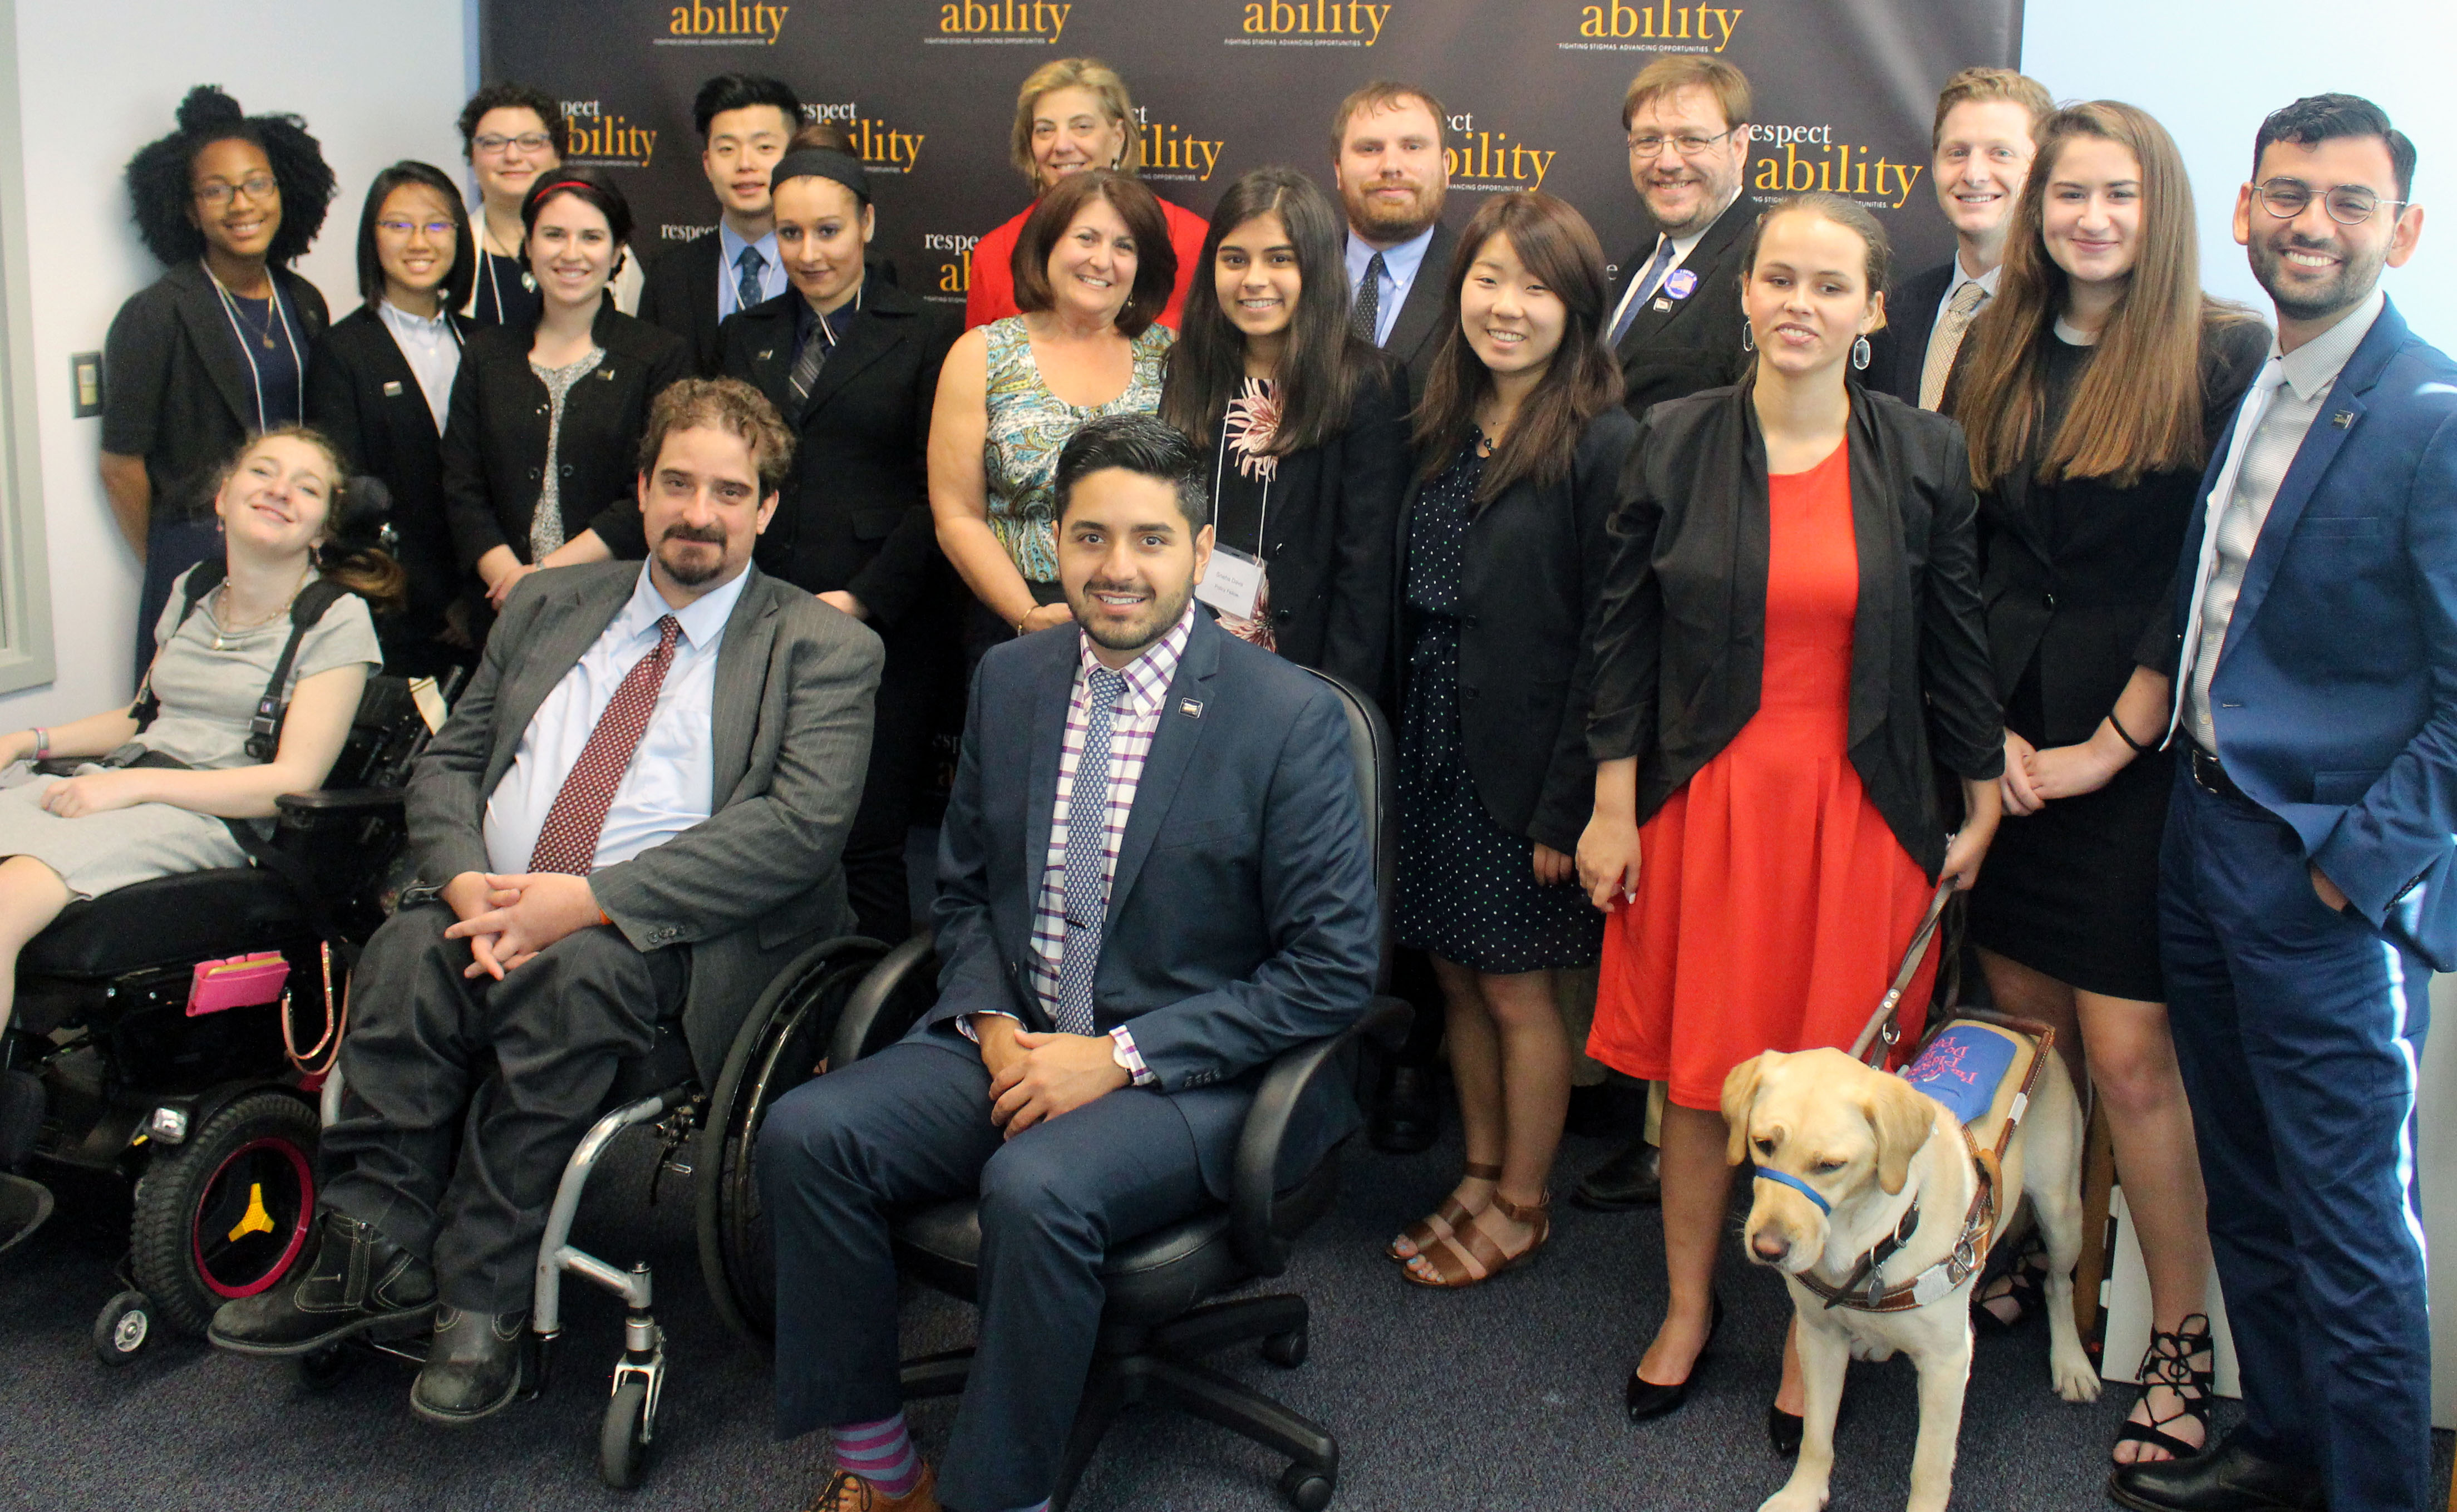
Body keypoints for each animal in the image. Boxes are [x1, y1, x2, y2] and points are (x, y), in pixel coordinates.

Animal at [1730, 885, 2093, 1512]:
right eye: (1762, 1142)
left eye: (1830, 1165)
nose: (1767, 1248)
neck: (1865, 1245)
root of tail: (2015, 1029)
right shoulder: (1817, 1336)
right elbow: (1816, 1434)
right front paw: (1801, 1493)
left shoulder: (1949, 1364)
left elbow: (1928, 1467)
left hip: (2062, 1208)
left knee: (2057, 1281)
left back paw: (2070, 1359)